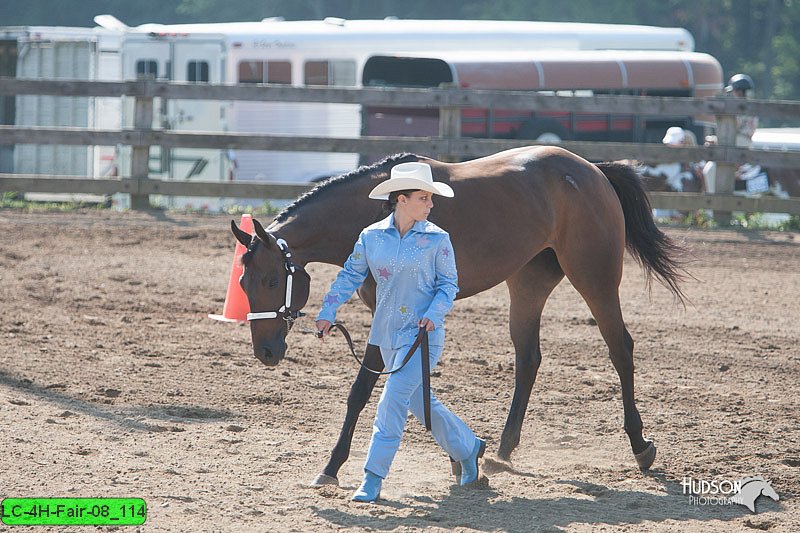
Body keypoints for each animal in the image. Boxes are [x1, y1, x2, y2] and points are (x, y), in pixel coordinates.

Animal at [230, 145, 688, 486]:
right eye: (242, 284)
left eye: (271, 280)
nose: (266, 352)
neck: (376, 214)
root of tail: (593, 170)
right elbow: (410, 382)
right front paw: (463, 454)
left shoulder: (390, 315)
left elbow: (363, 390)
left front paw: (332, 466)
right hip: (528, 283)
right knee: (529, 359)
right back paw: (501, 452)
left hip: (595, 278)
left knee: (620, 349)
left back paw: (640, 446)